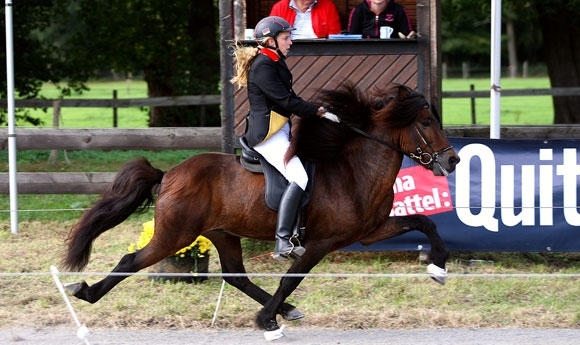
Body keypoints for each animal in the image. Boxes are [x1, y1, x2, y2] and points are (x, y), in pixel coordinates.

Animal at [62, 84, 458, 338]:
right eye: (425, 123)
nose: (452, 161)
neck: (353, 170)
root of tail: (170, 173)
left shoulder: (369, 232)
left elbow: (426, 223)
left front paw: (437, 267)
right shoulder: (321, 242)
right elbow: (291, 277)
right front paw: (265, 320)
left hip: (222, 233)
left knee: (236, 275)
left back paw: (285, 310)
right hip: (175, 234)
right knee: (131, 260)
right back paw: (86, 292)